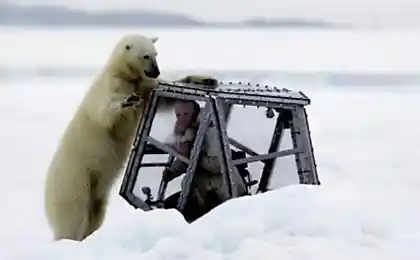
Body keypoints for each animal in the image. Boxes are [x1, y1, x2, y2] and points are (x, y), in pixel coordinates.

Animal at [44, 34, 162, 242]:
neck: (121, 74)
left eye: (156, 54)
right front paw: (127, 101)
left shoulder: (142, 85)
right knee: (73, 216)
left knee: (96, 214)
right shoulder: (109, 87)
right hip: (73, 180)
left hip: (96, 194)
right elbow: (106, 113)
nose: (156, 71)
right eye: (145, 56)